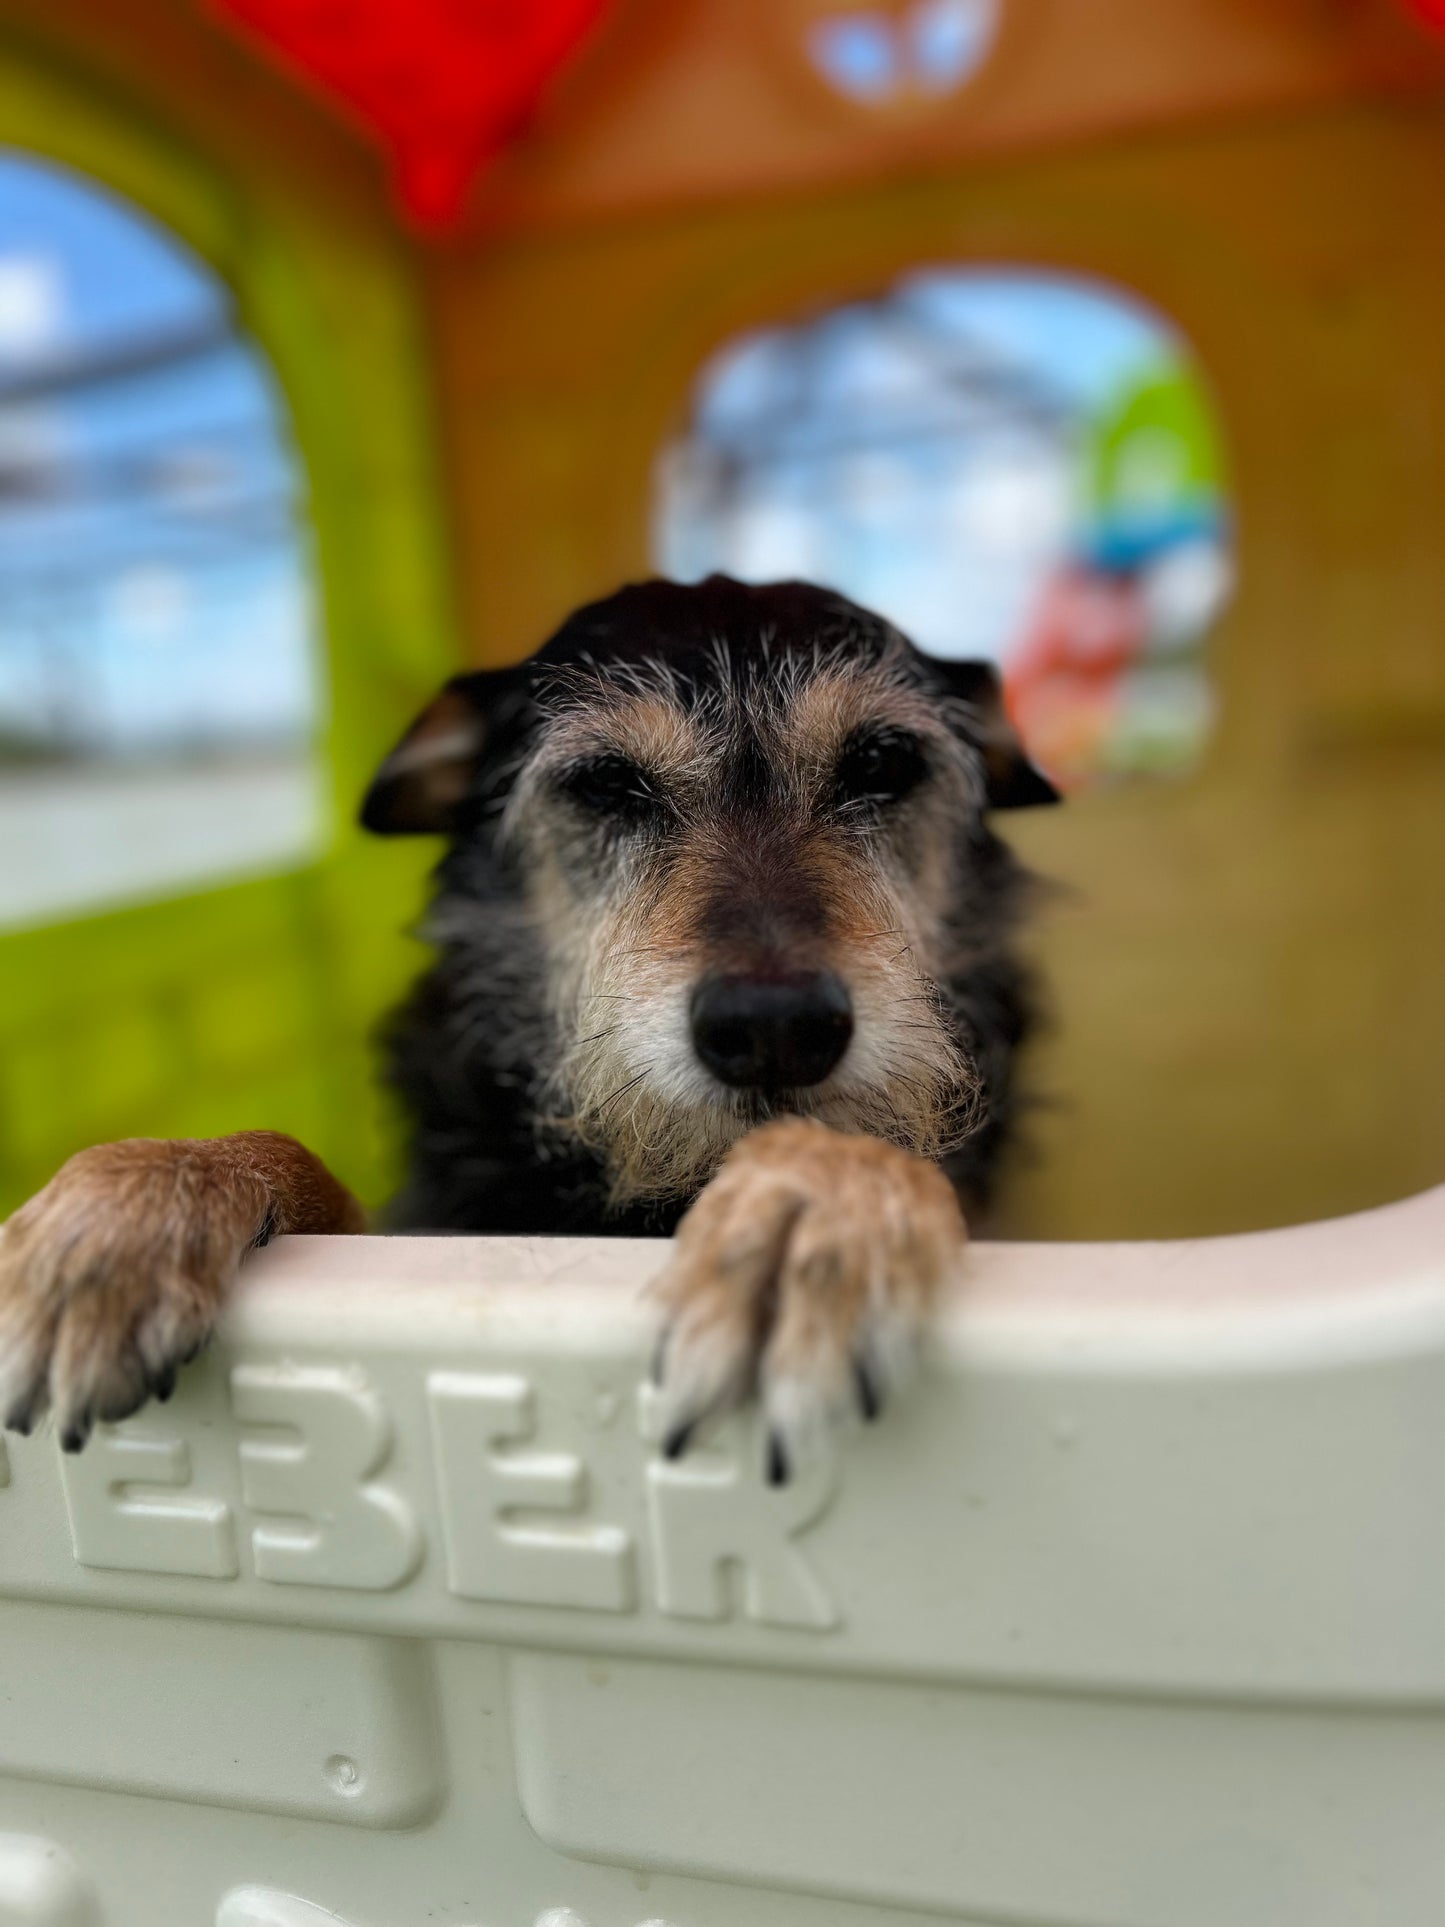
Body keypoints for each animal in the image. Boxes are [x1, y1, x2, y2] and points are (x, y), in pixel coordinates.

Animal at [2, 570, 1063, 1472]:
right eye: (605, 782)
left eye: (881, 761)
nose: (774, 1026)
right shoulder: (424, 1226)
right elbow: (298, 1164)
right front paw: (140, 1197)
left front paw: (816, 1207)